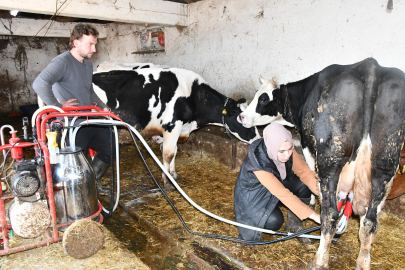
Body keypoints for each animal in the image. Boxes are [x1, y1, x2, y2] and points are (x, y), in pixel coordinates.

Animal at [92, 68, 258, 188]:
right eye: (242, 117)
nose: (257, 139)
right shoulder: (171, 125)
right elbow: (168, 154)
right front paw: (167, 182)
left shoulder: (179, 128)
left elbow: (175, 152)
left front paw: (173, 174)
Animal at [237, 58, 404, 270]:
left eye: (264, 99)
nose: (241, 117)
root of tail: (371, 66)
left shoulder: (309, 146)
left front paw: (312, 201)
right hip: (385, 163)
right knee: (370, 221)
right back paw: (363, 263)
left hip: (330, 159)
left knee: (331, 213)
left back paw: (319, 261)